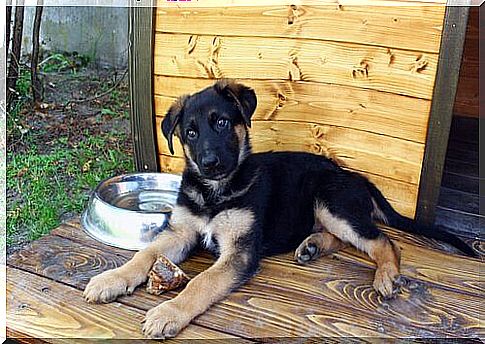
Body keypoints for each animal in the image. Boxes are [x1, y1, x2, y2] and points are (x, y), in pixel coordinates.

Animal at [83, 78, 472, 338]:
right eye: (190, 133)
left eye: (221, 122)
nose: (209, 163)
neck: (216, 192)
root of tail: (354, 176)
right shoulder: (180, 232)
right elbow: (145, 255)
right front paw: (109, 279)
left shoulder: (239, 251)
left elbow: (202, 282)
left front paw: (169, 311)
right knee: (345, 237)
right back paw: (311, 246)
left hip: (331, 201)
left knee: (384, 241)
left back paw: (386, 275)